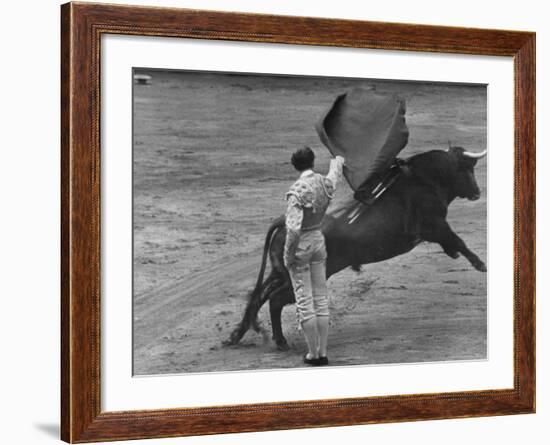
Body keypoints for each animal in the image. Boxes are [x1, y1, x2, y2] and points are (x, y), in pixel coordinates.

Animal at [224, 147, 488, 348]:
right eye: (467, 169)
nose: (477, 192)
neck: (425, 180)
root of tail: (284, 221)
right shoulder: (435, 224)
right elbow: (457, 239)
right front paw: (481, 264)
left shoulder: (433, 229)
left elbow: (452, 242)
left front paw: (456, 255)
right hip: (303, 274)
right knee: (275, 299)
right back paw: (280, 342)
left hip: (280, 271)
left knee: (259, 296)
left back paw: (237, 335)